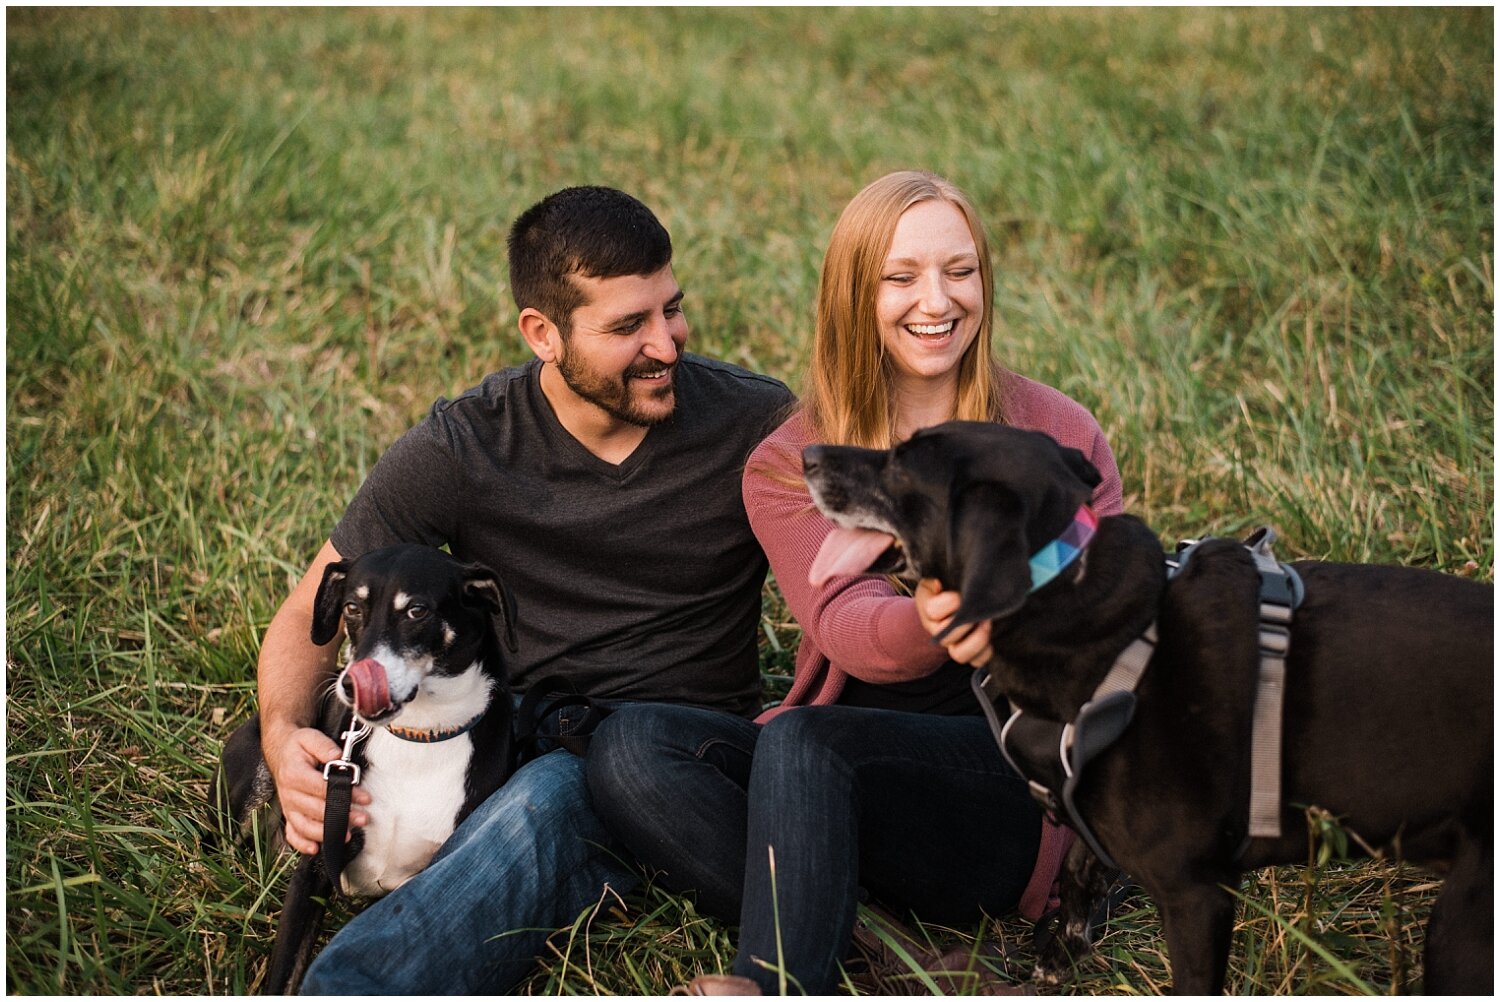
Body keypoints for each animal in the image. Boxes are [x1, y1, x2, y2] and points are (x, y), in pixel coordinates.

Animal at [211, 549, 516, 996]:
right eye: (352, 608)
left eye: (417, 611)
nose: (351, 686)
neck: (419, 737)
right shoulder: (316, 863)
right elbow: (285, 971)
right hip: (255, 776)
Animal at [804, 420, 1494, 996]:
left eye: (901, 464)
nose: (806, 454)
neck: (1110, 619)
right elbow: (1078, 864)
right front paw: (1060, 951)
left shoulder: (1197, 896)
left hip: (1461, 927)